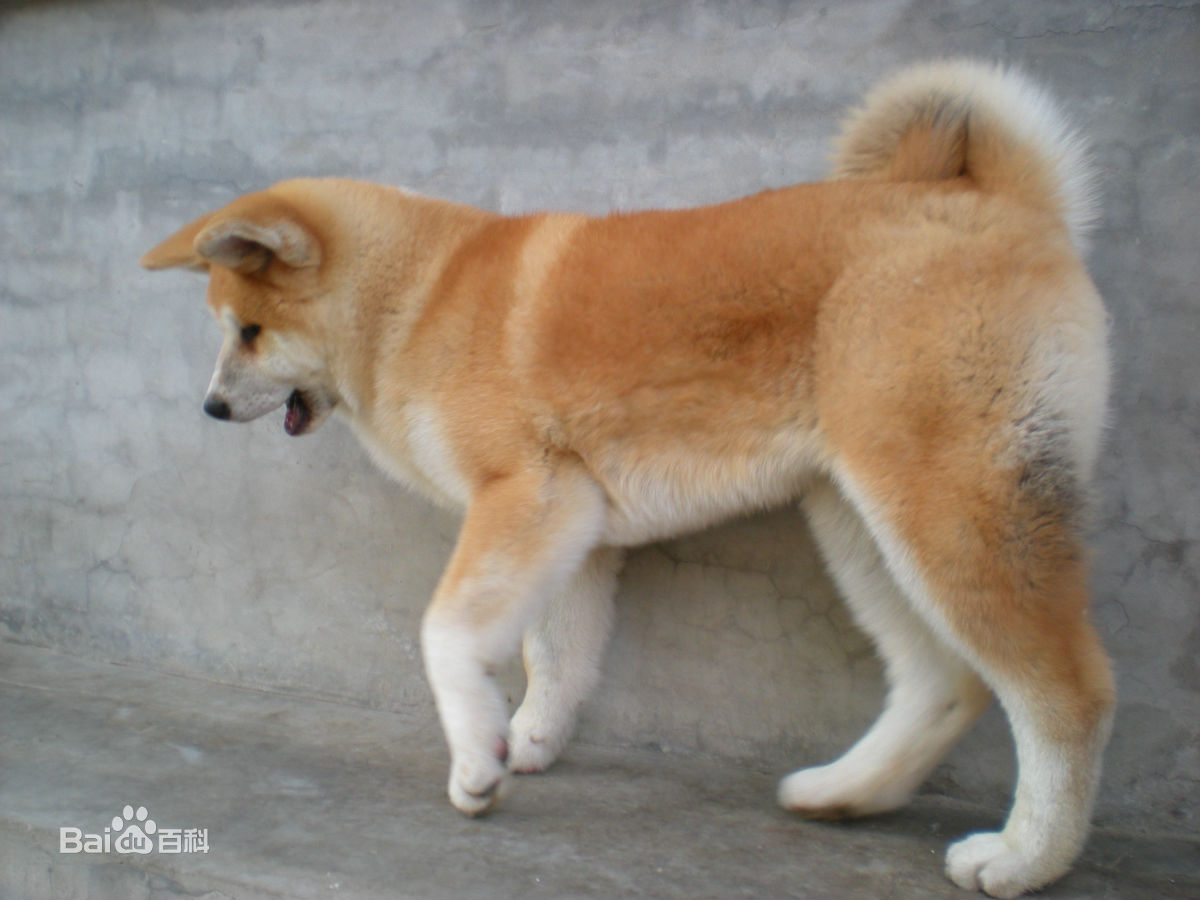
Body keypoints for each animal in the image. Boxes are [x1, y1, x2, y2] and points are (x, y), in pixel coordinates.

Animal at [142, 60, 1113, 897]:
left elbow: (446, 637)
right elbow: (556, 657)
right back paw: (845, 792)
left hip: (948, 513)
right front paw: (523, 741)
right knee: (943, 681)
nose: (210, 408)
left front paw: (475, 757)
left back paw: (1026, 857)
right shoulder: (573, 524)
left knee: (1069, 695)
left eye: (249, 333)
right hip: (861, 522)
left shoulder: (524, 495)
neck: (413, 300)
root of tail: (1008, 199)